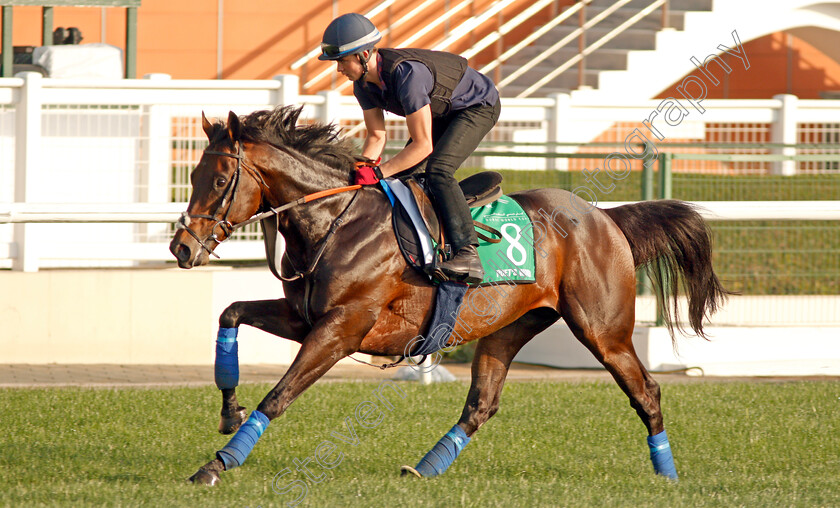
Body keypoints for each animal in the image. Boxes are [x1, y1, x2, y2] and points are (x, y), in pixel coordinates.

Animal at [169, 105, 728, 486]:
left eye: (219, 179)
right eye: (192, 174)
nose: (182, 247)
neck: (336, 221)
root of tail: (604, 217)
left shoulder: (345, 327)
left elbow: (279, 394)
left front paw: (216, 465)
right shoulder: (304, 316)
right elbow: (230, 314)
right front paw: (228, 411)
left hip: (603, 330)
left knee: (646, 391)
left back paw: (667, 474)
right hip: (508, 329)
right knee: (481, 404)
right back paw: (425, 468)